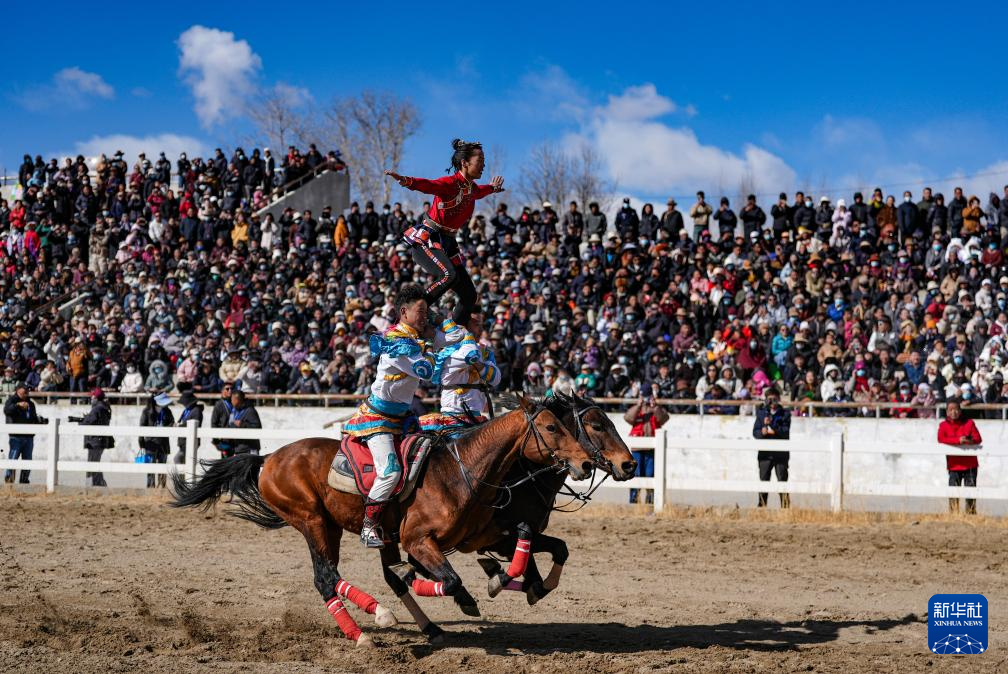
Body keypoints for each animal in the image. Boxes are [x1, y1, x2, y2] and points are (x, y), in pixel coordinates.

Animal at [171, 394, 596, 644]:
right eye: (551, 427)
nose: (586, 463)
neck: (460, 473)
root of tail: (269, 457)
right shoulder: (417, 541)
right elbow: (449, 579)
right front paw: (461, 593)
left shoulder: (483, 534)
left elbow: (523, 541)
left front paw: (495, 582)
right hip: (313, 521)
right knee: (326, 577)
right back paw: (371, 624)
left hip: (333, 527)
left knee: (342, 577)